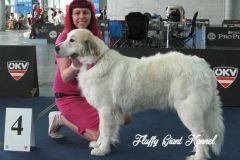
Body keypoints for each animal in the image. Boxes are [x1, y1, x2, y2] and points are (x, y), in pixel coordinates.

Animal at [55, 29, 224, 160]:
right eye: (66, 37)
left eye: (72, 40)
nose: (56, 48)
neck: (96, 61)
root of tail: (203, 66)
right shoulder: (107, 111)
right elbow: (102, 130)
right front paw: (99, 143)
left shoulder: (106, 110)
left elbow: (105, 130)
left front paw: (102, 150)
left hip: (188, 110)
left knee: (201, 134)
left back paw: (198, 156)